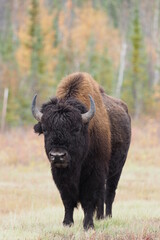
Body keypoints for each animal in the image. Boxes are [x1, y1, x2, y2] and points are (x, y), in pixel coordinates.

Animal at [31, 72, 131, 230]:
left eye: (76, 129)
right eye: (45, 129)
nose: (58, 156)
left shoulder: (93, 173)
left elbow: (89, 199)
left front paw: (88, 225)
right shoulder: (59, 175)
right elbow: (67, 199)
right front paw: (67, 223)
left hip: (117, 169)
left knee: (109, 193)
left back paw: (107, 217)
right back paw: (100, 217)